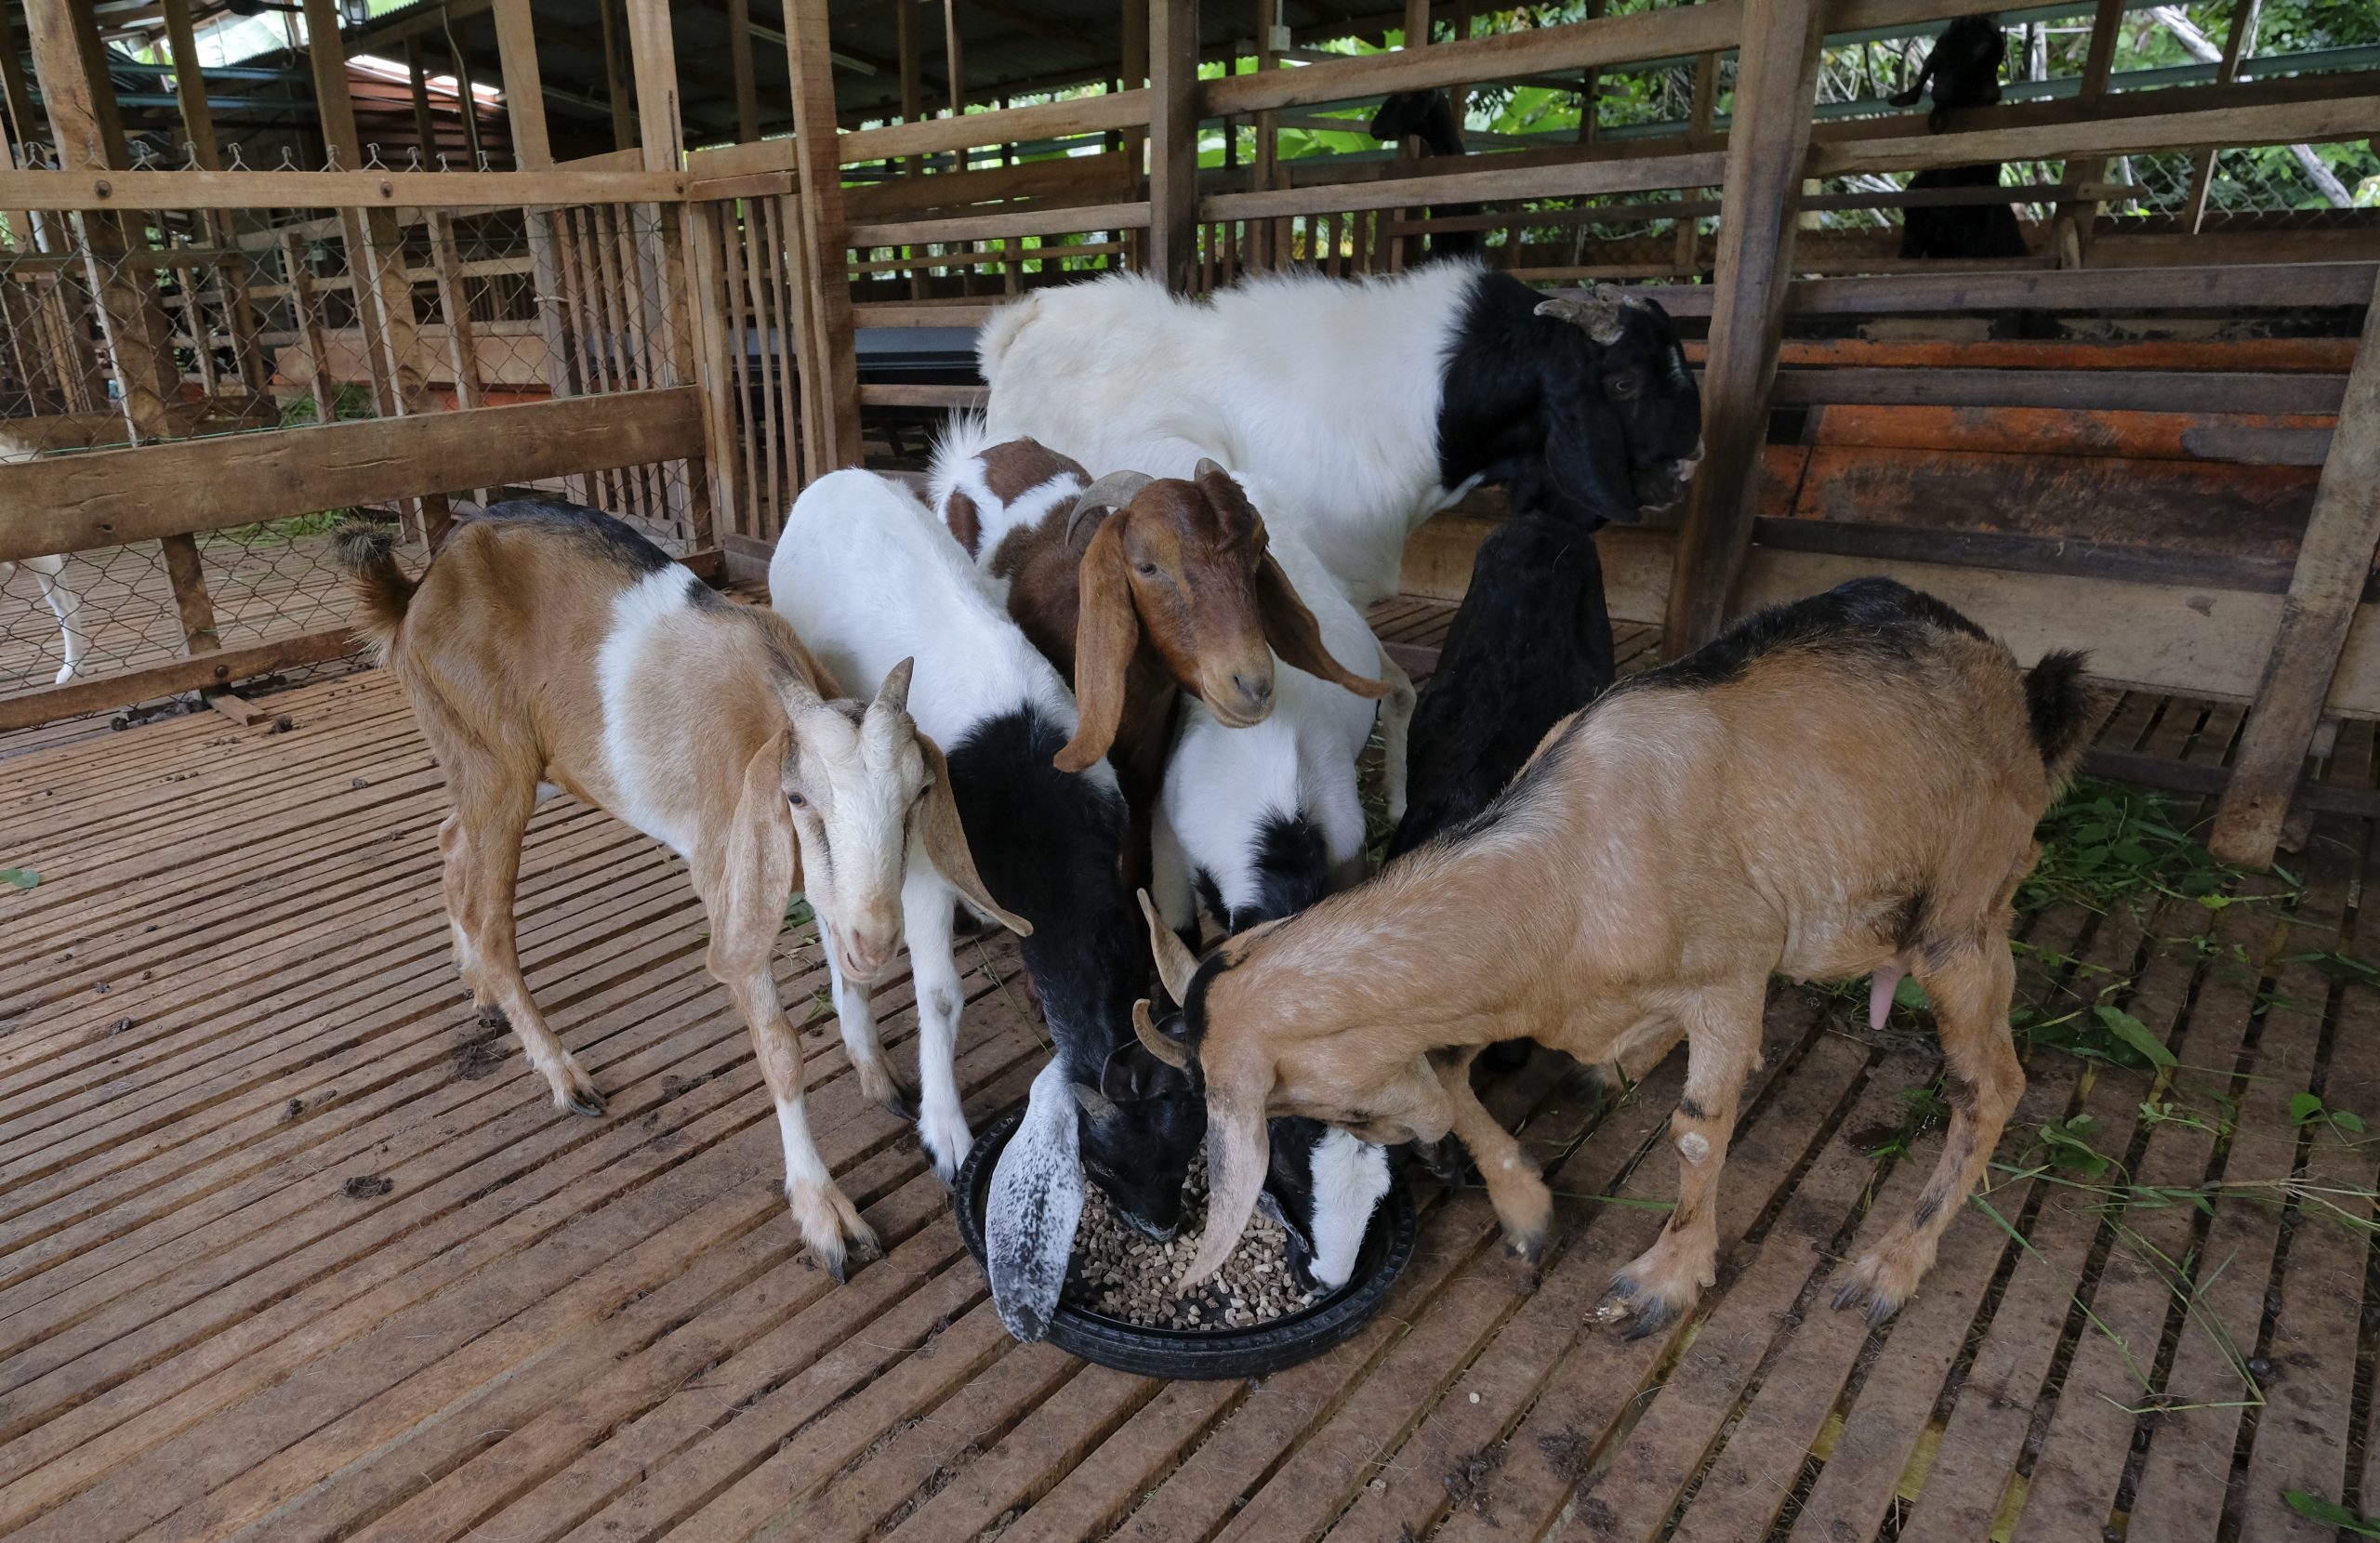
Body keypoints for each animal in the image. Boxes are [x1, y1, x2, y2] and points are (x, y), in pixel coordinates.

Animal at [337, 502, 1023, 1276]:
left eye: (919, 795)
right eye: (797, 798)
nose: (878, 940)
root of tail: (419, 588)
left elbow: (847, 978)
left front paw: (877, 1075)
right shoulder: (728, 882)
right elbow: (780, 1048)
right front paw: (826, 1216)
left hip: (513, 766)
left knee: (452, 844)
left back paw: (477, 982)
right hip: (495, 761)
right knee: (489, 913)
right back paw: (561, 1072)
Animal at [771, 467, 1209, 1333]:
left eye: (1185, 1143)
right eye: (1105, 1161)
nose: (1162, 1226)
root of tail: (828, 479)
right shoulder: (921, 867)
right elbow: (940, 996)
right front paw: (943, 1132)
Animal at [1128, 571, 2104, 1333]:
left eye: (1339, 1112)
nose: (1420, 1143)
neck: (1566, 867)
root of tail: (2025, 692)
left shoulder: (1729, 975)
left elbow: (1699, 1130)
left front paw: (1662, 1281)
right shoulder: (1503, 997)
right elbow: (1452, 1070)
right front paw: (1526, 1214)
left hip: (1961, 919)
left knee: (1991, 1087)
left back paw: (1888, 1270)